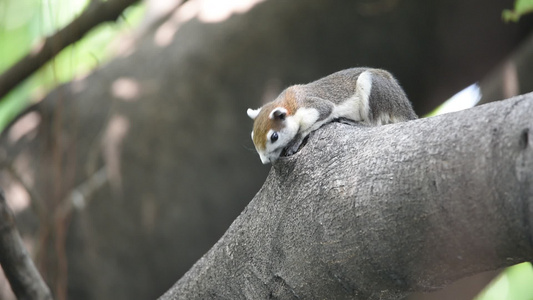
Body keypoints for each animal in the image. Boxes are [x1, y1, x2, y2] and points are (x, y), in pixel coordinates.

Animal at [247, 68, 418, 164]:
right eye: (252, 136)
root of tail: (404, 105)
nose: (265, 161)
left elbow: (319, 118)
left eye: (274, 137)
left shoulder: (316, 107)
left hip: (373, 88)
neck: (290, 104)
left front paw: (295, 140)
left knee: (374, 123)